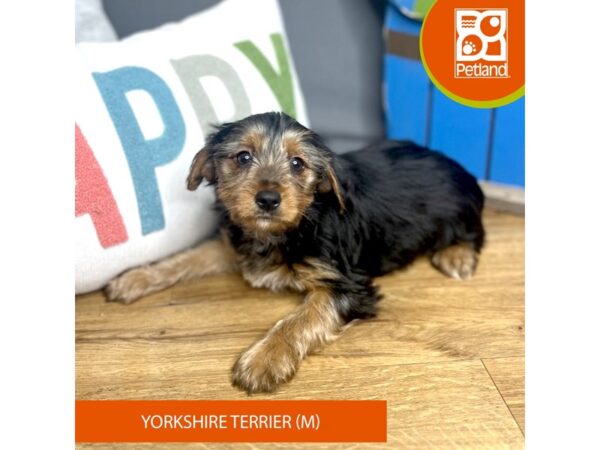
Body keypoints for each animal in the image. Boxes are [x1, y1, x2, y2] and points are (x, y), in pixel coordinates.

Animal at [105, 110, 486, 392]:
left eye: (298, 164)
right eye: (243, 157)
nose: (268, 199)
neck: (289, 228)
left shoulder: (346, 284)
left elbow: (301, 318)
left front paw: (264, 359)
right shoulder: (232, 245)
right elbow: (187, 258)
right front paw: (136, 278)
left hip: (459, 211)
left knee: (475, 232)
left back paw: (456, 256)